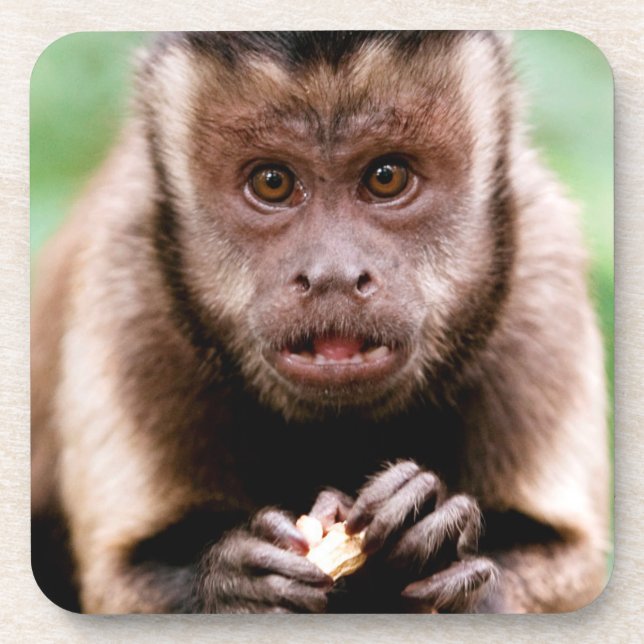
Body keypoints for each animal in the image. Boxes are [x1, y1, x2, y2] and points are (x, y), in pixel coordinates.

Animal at [31, 31, 610, 614]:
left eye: (386, 177)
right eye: (272, 182)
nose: (333, 275)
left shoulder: (541, 267)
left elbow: (571, 557)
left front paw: (438, 539)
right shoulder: (127, 278)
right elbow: (121, 577)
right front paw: (237, 586)